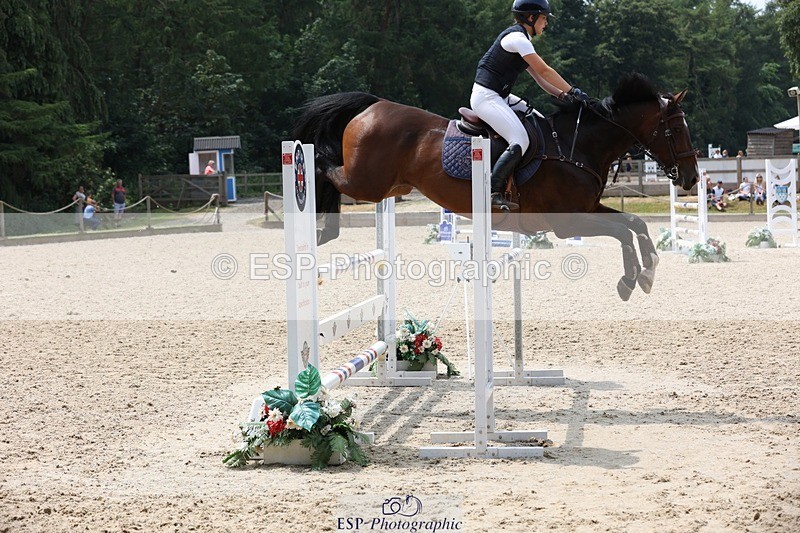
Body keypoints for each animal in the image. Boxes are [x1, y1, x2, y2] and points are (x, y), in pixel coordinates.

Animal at [292, 73, 699, 301]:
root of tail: (373, 106)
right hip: (367, 182)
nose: (692, 178)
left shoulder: (586, 211)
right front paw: (632, 279)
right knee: (322, 165)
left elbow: (635, 225)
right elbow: (623, 232)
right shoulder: (568, 222)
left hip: (387, 186)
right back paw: (322, 227)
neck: (578, 145)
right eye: (676, 129)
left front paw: (647, 272)